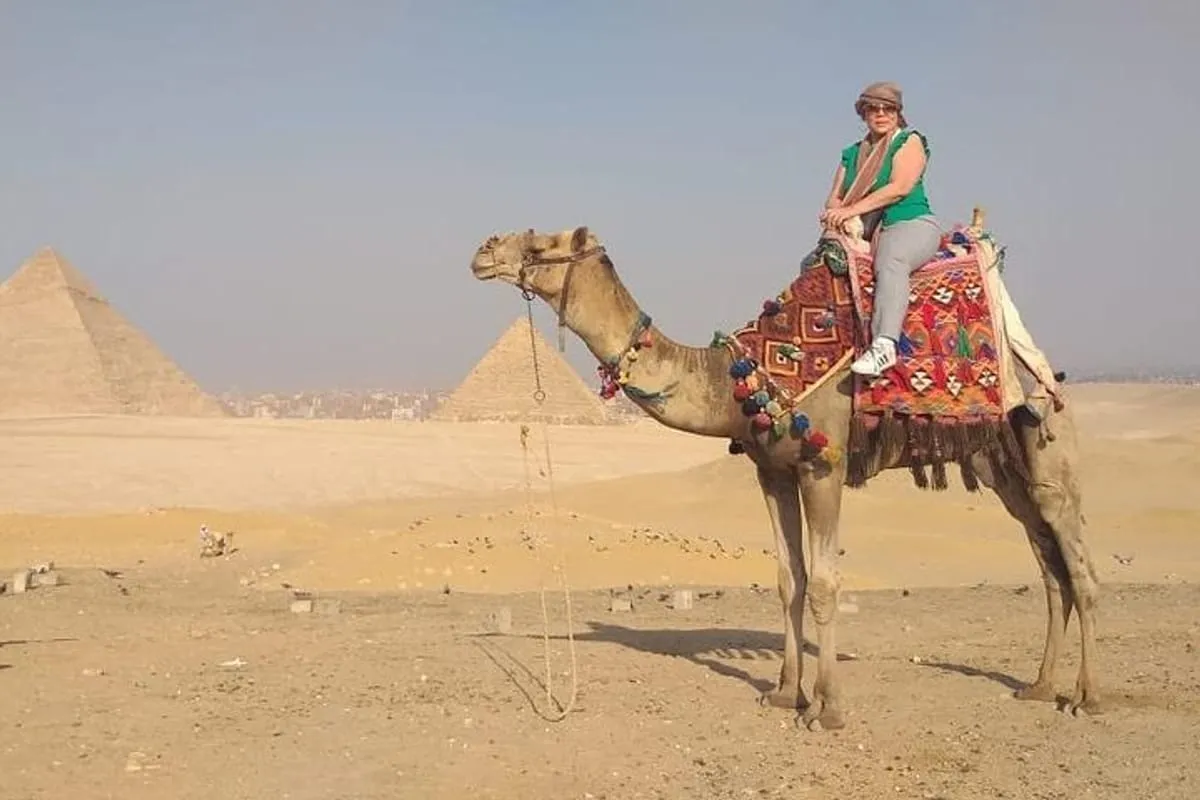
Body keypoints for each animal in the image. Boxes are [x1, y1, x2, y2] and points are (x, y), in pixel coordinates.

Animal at [469, 225, 1101, 730]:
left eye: (540, 244)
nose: (483, 250)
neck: (737, 378)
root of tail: (1042, 370)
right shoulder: (773, 471)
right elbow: (787, 580)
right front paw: (784, 694)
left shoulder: (824, 466)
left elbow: (823, 585)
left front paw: (827, 708)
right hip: (1003, 468)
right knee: (1051, 572)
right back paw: (1039, 686)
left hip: (1050, 458)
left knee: (1080, 570)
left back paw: (1087, 697)